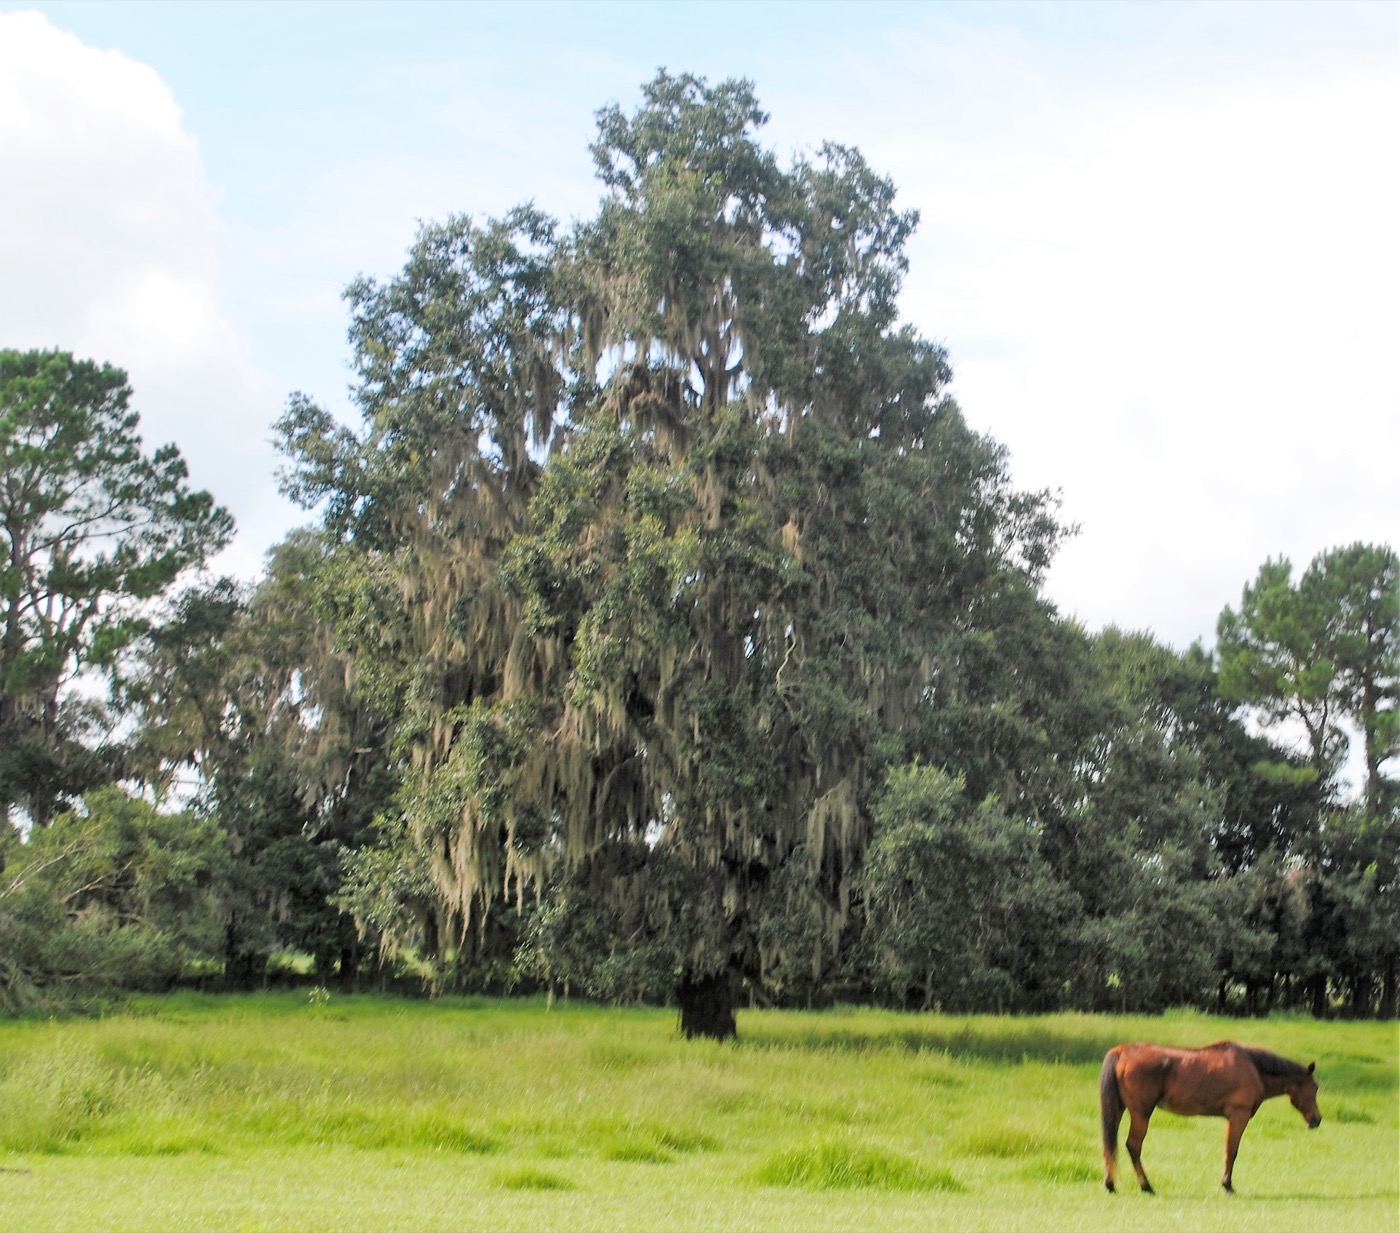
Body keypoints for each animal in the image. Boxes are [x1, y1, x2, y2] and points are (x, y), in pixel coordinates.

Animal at [1100, 1040, 1321, 1194]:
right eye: (1316, 1087)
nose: (1317, 1119)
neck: (1253, 1067)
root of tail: (1122, 1051)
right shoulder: (1238, 1116)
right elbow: (1232, 1151)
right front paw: (1227, 1185)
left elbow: (1228, 1150)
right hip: (1141, 1113)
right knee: (1133, 1146)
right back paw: (1146, 1186)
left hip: (1119, 1109)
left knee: (1111, 1146)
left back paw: (1110, 1184)